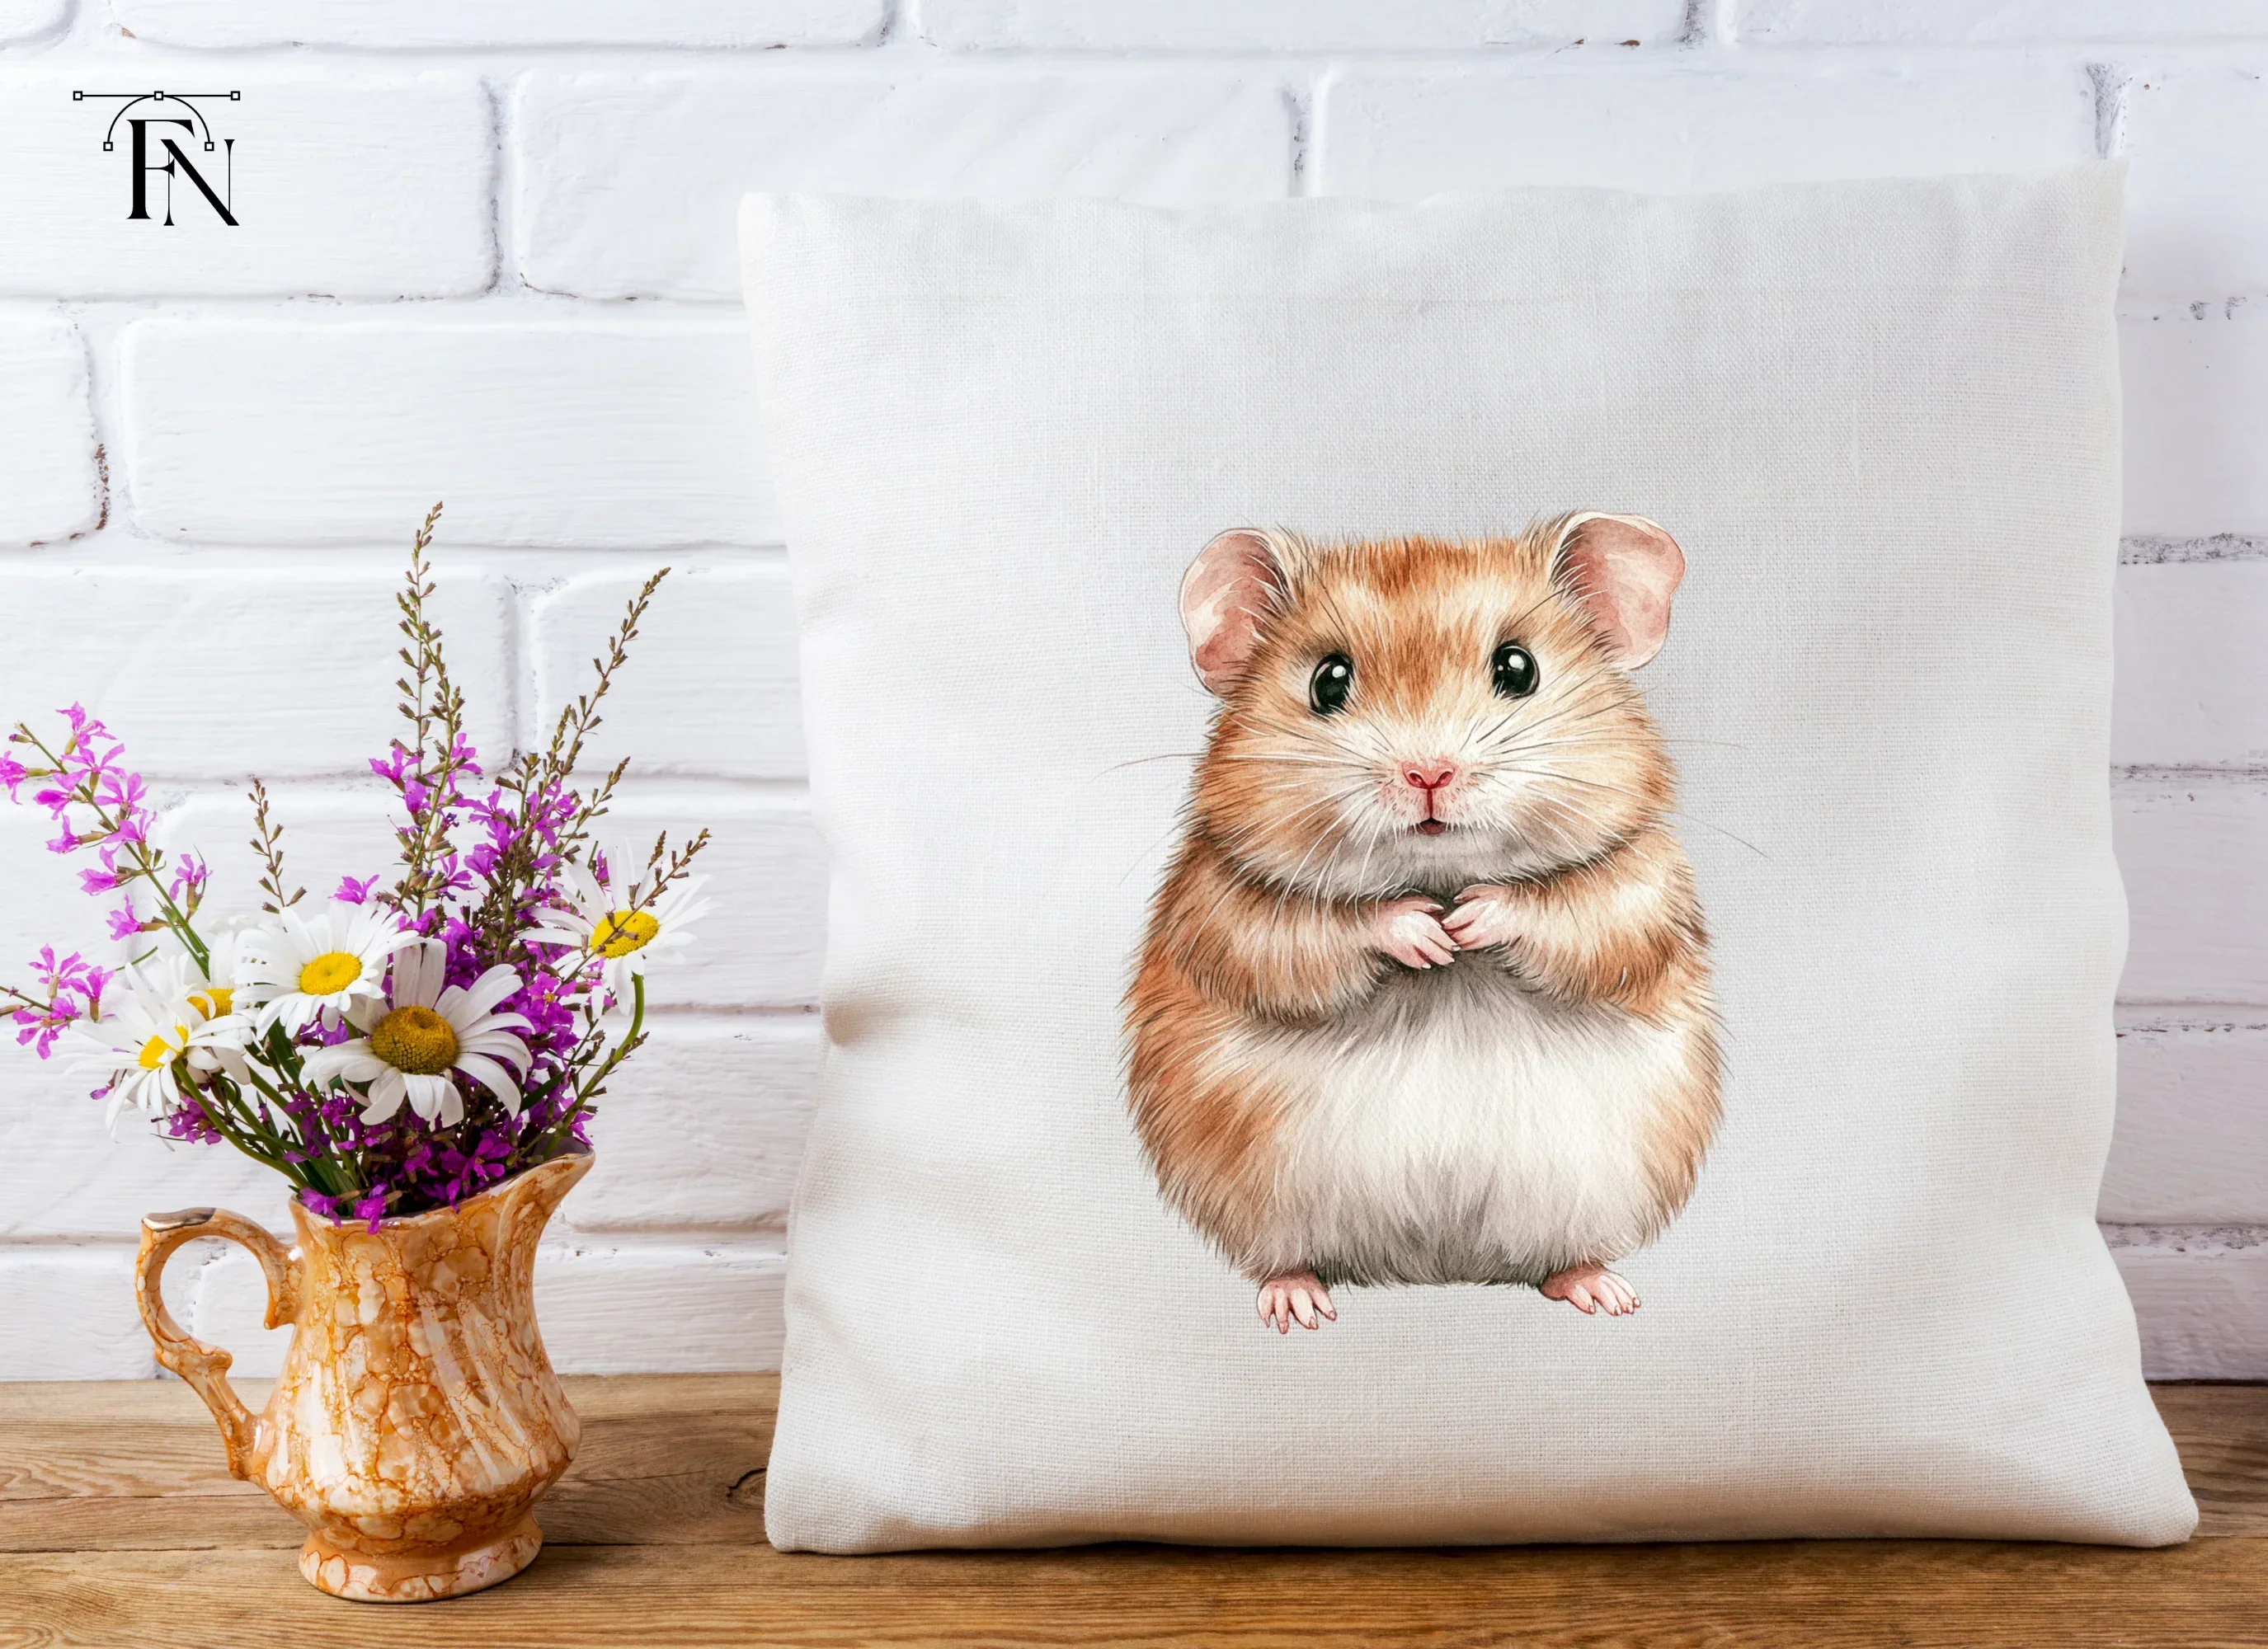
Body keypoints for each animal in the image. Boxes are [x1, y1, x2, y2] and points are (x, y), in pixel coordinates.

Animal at [1125, 513, 1720, 1333]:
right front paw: (1427, 934)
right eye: (1328, 681)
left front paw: (1470, 922)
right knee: (1285, 1258)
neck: (1437, 875)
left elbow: (1574, 914)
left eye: (1518, 668)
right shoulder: (1222, 907)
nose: (1428, 774)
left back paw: (1606, 1293)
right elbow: (1313, 932)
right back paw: (1297, 1307)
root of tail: (1435, 1271)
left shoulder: (1642, 887)